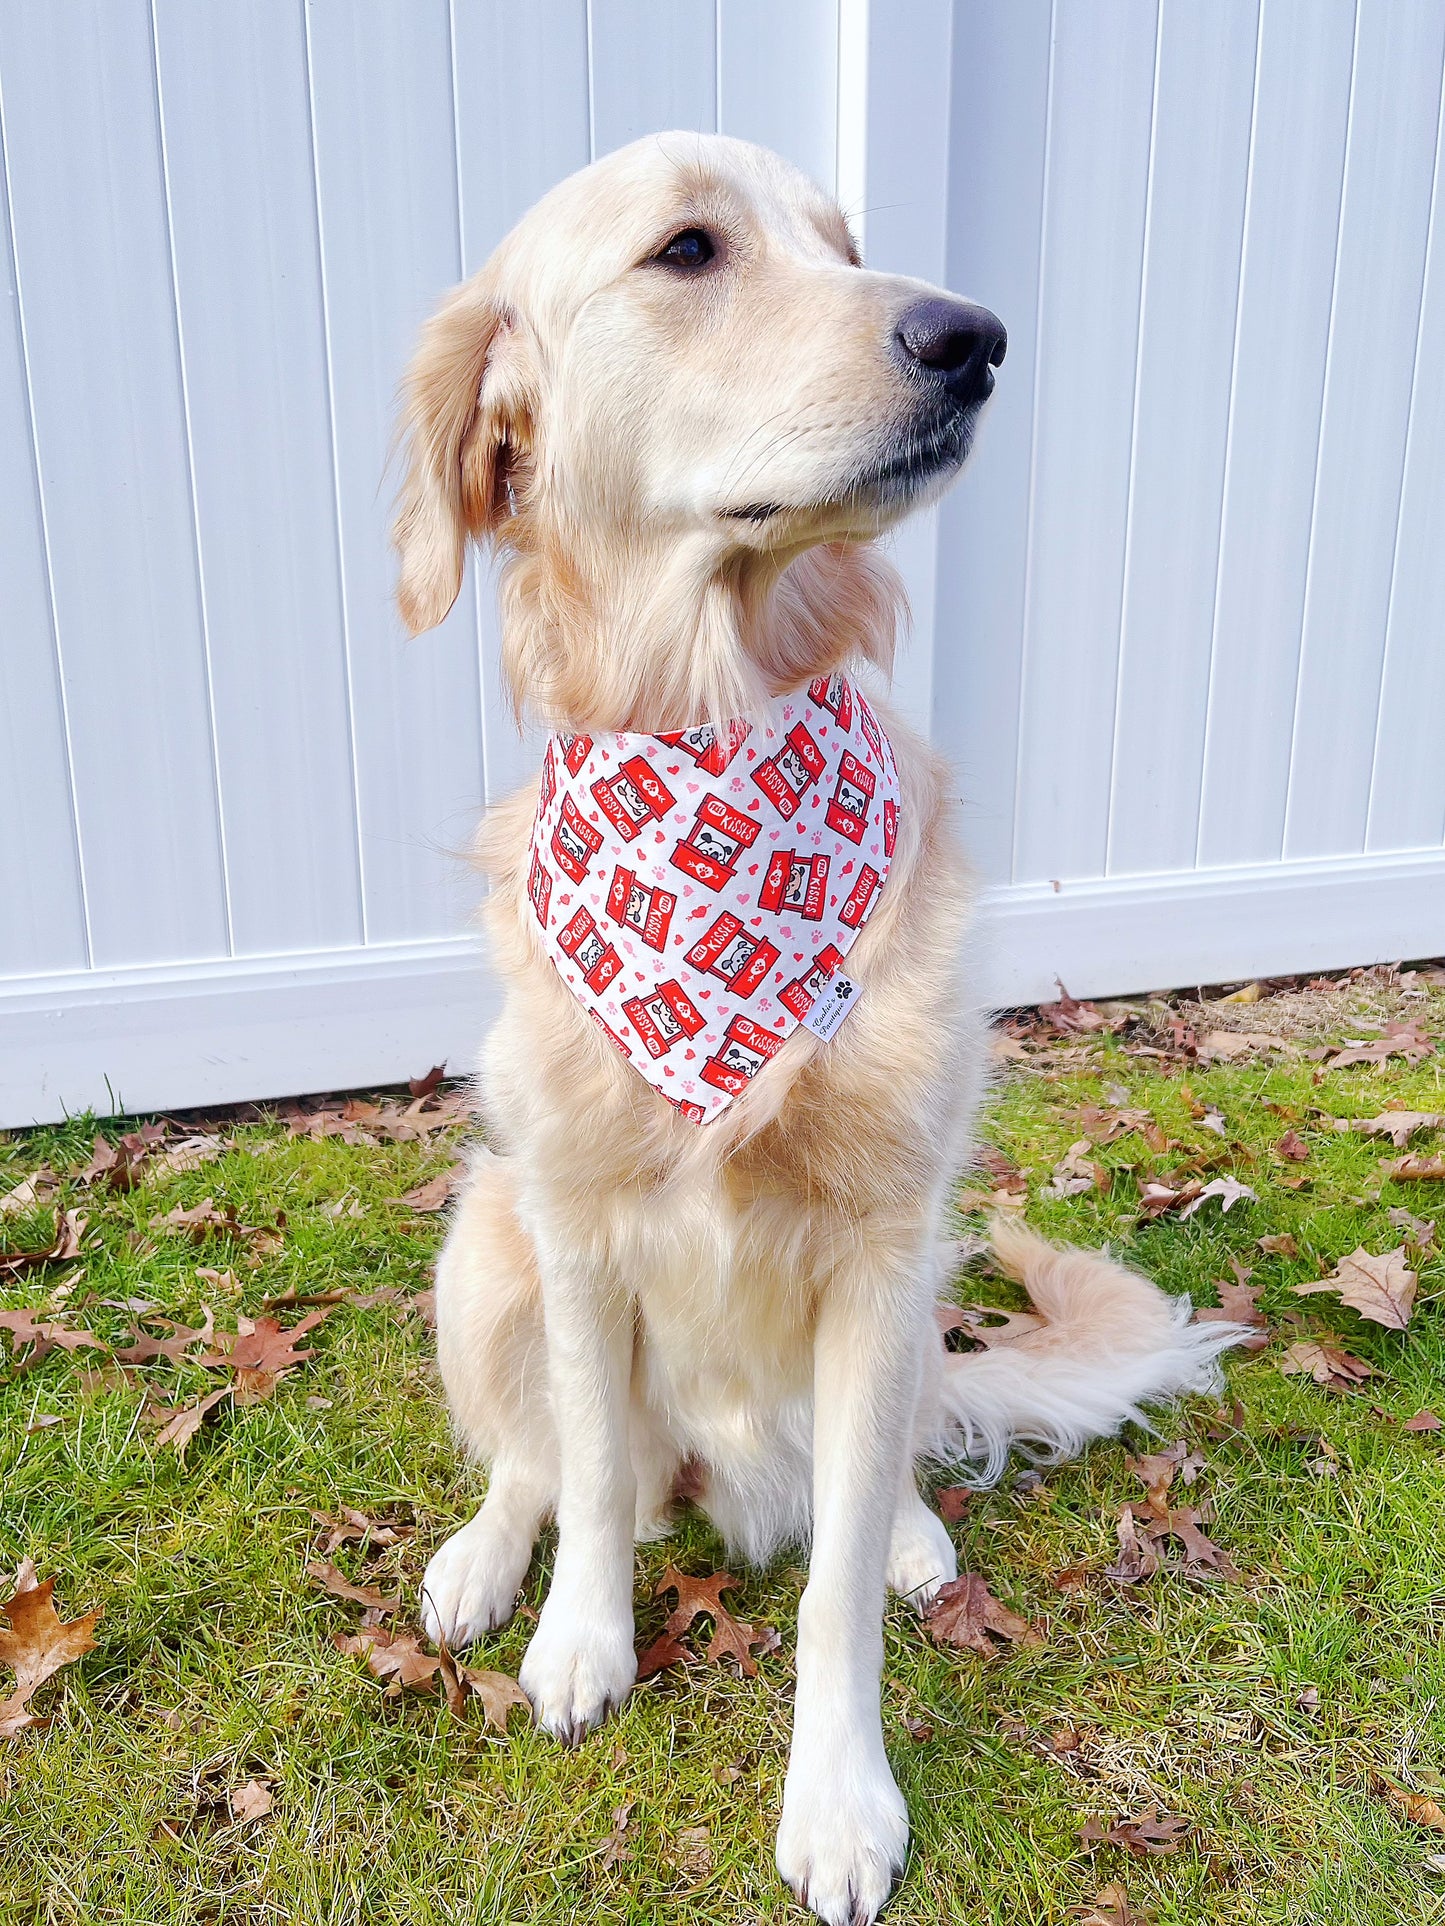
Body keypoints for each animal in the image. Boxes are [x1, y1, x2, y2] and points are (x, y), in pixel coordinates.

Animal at [396, 139, 1248, 1926]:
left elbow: (832, 1588)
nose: (973, 336)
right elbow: (587, 1470)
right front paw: (580, 1639)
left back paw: (918, 1529)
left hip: (916, 1293)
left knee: (880, 1470)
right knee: (531, 1455)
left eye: (848, 247)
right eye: (688, 250)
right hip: (483, 1236)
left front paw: (842, 1796)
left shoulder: (874, 1249)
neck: (717, 735)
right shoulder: (574, 1223)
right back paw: (482, 1561)